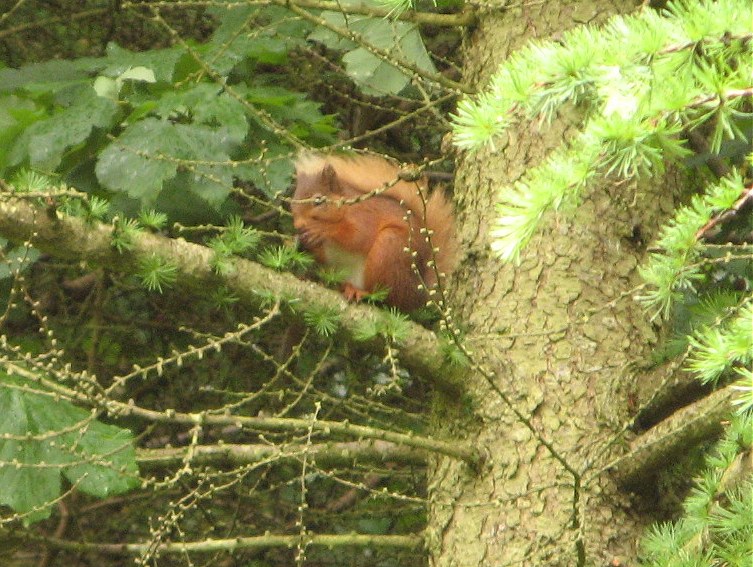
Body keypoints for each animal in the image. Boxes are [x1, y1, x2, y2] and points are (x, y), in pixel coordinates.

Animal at [290, 153, 456, 312]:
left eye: (318, 200)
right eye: (292, 201)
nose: (298, 226)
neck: (345, 208)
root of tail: (417, 295)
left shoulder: (365, 216)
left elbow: (358, 237)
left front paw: (321, 230)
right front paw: (300, 241)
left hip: (389, 249)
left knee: (387, 298)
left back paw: (361, 292)